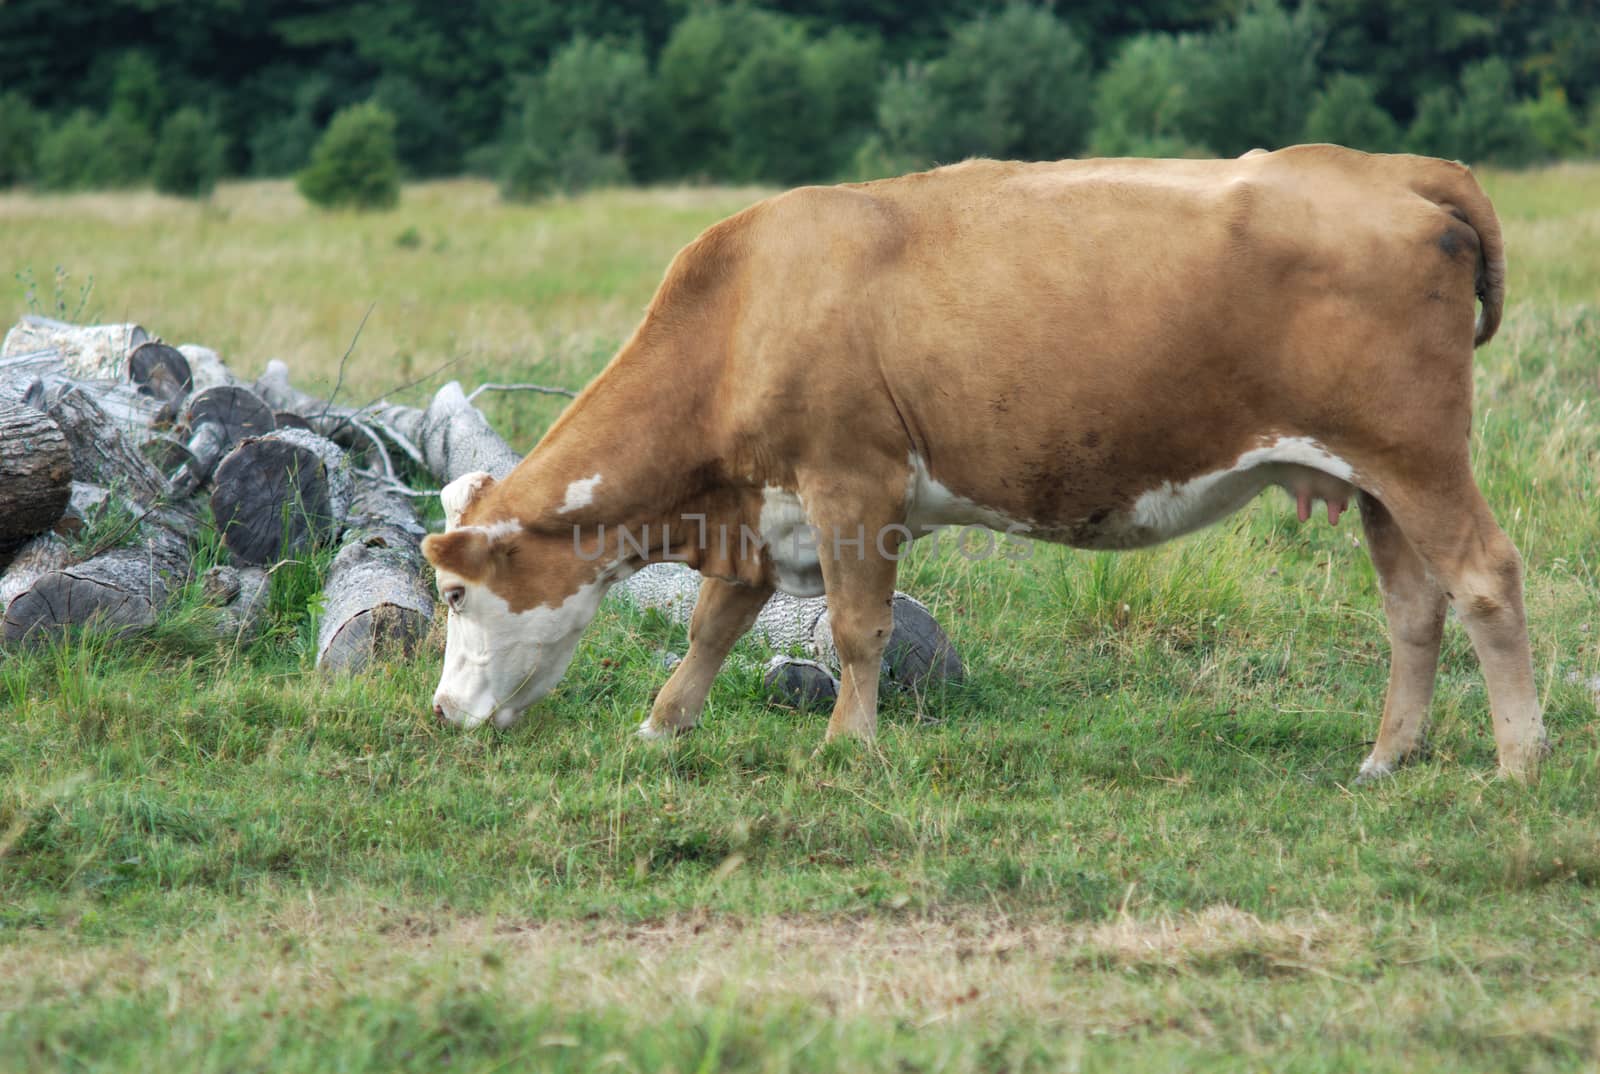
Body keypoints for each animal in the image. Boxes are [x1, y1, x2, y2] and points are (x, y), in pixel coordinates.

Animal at [419, 144, 1542, 781]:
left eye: (454, 594)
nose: (439, 713)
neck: (743, 311)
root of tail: (1391, 167)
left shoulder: (853, 483)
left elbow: (857, 630)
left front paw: (848, 748)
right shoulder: (763, 506)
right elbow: (710, 627)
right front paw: (660, 730)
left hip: (1416, 455)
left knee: (1485, 579)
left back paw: (1519, 762)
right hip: (1372, 480)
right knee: (1414, 607)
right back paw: (1387, 756)